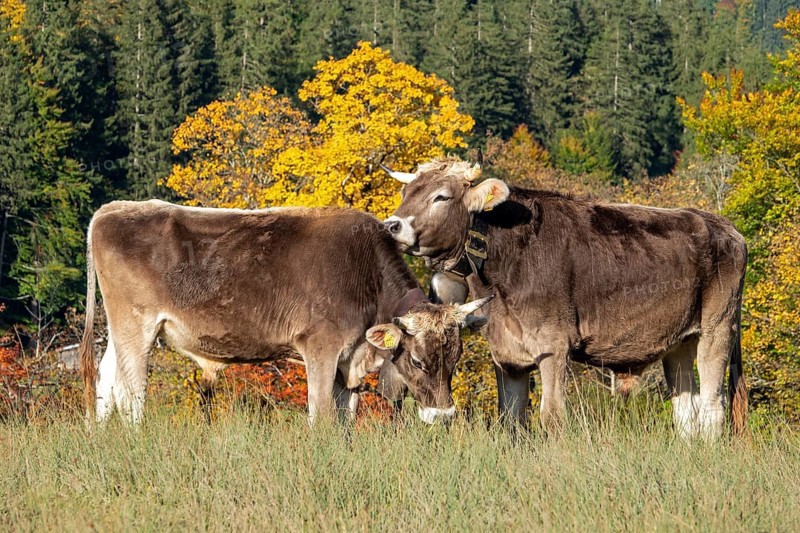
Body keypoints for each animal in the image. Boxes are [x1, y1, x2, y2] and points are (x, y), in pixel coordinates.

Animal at [79, 200, 492, 426]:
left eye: (455, 359)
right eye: (418, 361)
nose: (444, 416)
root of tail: (112, 209)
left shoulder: (348, 362)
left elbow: (346, 420)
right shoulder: (321, 348)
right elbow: (320, 416)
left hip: (119, 332)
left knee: (106, 382)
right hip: (137, 326)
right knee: (131, 393)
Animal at [381, 157, 748, 439]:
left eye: (440, 197)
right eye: (405, 192)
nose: (392, 225)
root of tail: (723, 225)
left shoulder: (553, 345)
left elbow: (552, 418)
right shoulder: (507, 355)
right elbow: (511, 420)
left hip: (717, 328)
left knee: (713, 406)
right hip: (679, 342)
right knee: (686, 411)